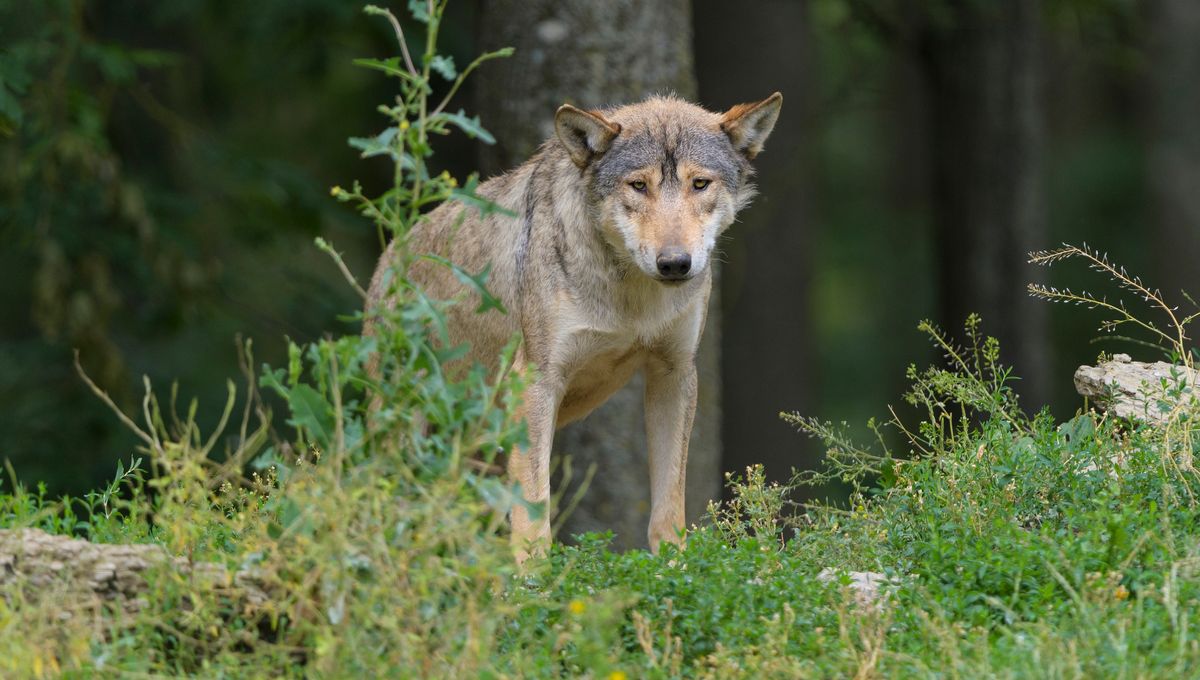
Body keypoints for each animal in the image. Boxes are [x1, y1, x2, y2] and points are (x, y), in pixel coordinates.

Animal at [372, 91, 787, 558]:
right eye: (638, 186)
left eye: (699, 184)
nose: (675, 263)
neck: (631, 298)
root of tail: (387, 261)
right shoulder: (537, 382)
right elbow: (534, 514)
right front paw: (533, 576)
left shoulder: (675, 373)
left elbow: (669, 510)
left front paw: (677, 568)